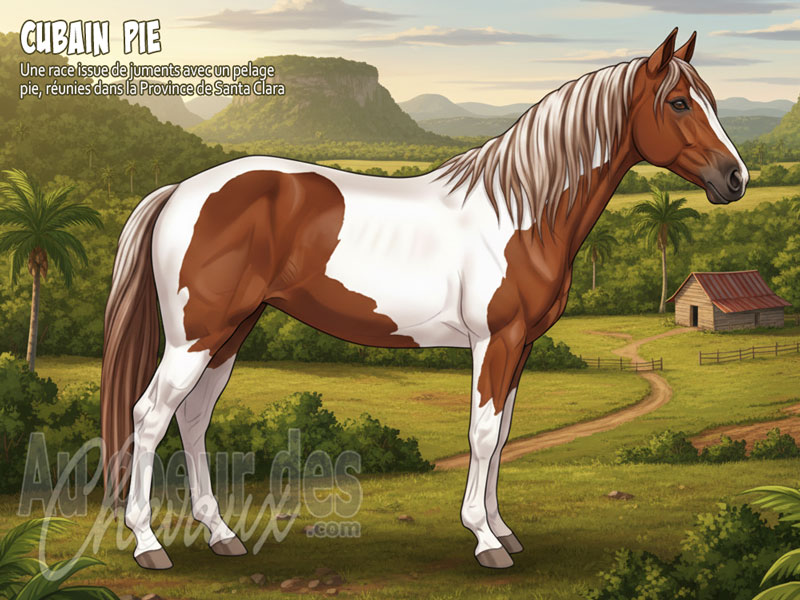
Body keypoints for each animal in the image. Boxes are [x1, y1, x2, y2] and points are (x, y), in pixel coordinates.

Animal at [100, 28, 748, 570]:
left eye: (713, 99)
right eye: (679, 103)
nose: (735, 178)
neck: (522, 210)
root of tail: (181, 190)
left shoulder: (519, 346)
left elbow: (503, 434)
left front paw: (502, 528)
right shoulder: (495, 341)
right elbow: (483, 434)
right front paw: (485, 541)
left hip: (231, 332)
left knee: (192, 418)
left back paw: (222, 535)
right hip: (195, 337)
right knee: (150, 416)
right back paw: (150, 544)